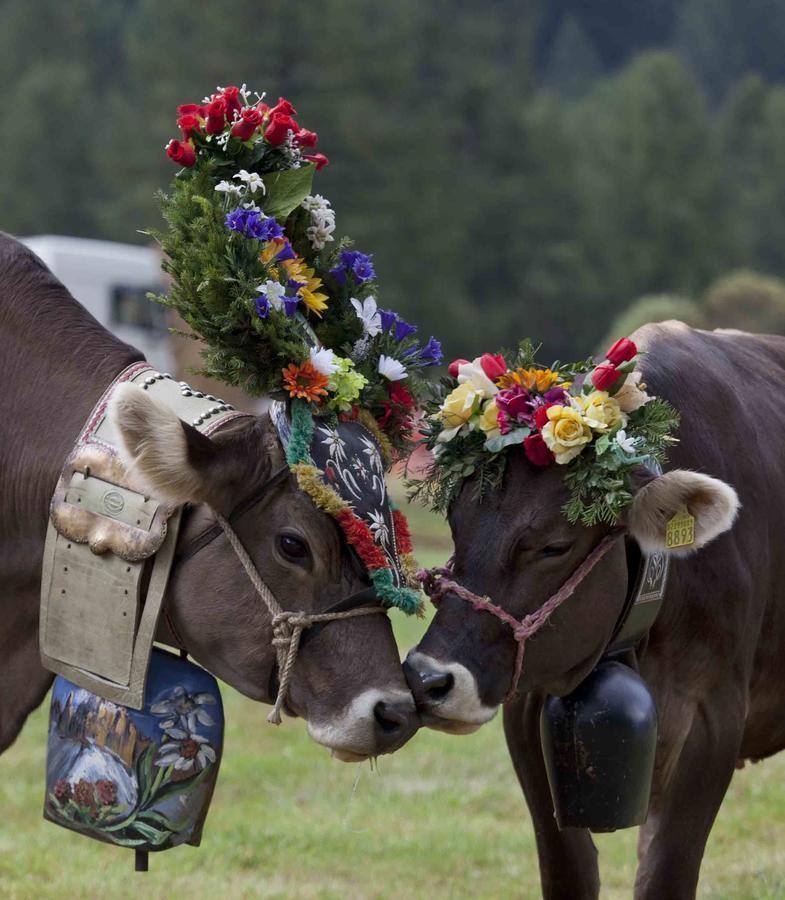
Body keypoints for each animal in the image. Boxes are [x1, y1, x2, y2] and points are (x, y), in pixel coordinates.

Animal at [404, 326, 784, 900]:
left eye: (555, 546)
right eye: (454, 521)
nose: (429, 680)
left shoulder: (713, 718)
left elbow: (665, 874)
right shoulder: (530, 708)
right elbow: (571, 870)